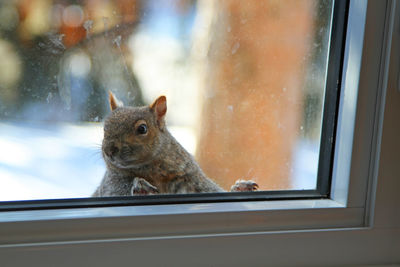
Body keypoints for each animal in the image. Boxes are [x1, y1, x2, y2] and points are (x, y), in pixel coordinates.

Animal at [92, 92, 258, 197]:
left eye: (142, 129)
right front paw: (141, 186)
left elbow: (209, 189)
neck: (150, 168)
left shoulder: (188, 177)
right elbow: (117, 191)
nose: (109, 150)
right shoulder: (113, 182)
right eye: (105, 128)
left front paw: (240, 187)